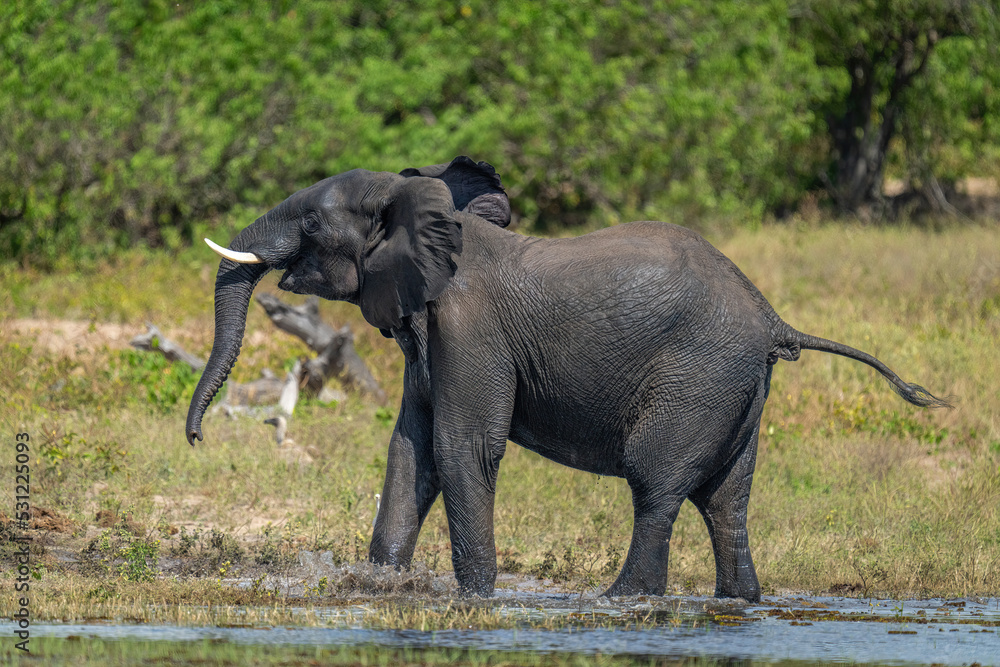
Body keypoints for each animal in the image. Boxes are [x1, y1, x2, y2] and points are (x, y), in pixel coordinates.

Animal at [185, 156, 949, 601]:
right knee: (728, 499)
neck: (427, 210)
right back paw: (738, 602)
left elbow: (462, 448)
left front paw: (475, 599)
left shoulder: (469, 325)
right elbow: (409, 451)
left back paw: (623, 599)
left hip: (699, 377)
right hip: (739, 390)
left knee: (658, 482)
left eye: (314, 220)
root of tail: (771, 317)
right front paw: (376, 585)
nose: (194, 440)